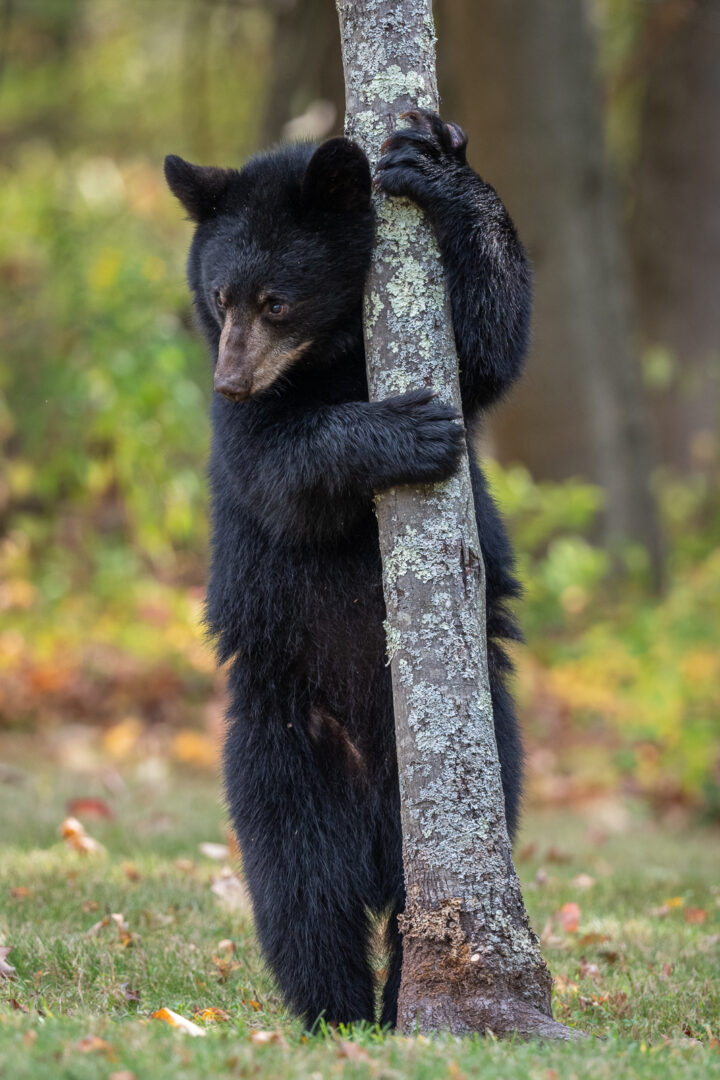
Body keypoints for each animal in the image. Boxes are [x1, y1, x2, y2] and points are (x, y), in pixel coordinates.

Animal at [164, 109, 531, 1029]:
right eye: (220, 297)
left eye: (276, 300)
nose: (228, 380)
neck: (328, 356)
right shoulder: (243, 439)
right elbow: (283, 470)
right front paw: (406, 431)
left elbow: (490, 345)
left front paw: (434, 157)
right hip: (283, 751)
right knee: (303, 895)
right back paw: (337, 1014)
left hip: (479, 763)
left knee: (419, 904)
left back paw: (405, 1001)